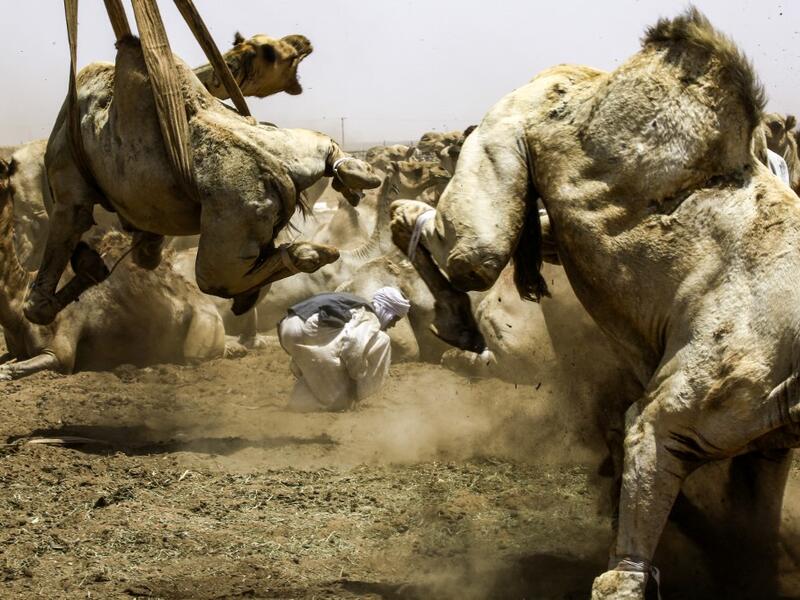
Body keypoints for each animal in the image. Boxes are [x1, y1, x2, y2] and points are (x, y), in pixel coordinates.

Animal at [24, 35, 379, 327]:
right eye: (281, 54)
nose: (303, 43)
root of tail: (274, 171)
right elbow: (143, 251)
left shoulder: (70, 193)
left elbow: (41, 298)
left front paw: (71, 281)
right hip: (287, 155)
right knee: (322, 143)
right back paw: (355, 179)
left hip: (230, 226)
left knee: (214, 278)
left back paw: (307, 254)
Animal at [391, 10, 800, 598]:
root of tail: (581, 75)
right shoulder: (676, 414)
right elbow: (627, 559)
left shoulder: (767, 440)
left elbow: (755, 534)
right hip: (511, 124)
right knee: (476, 255)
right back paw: (420, 252)